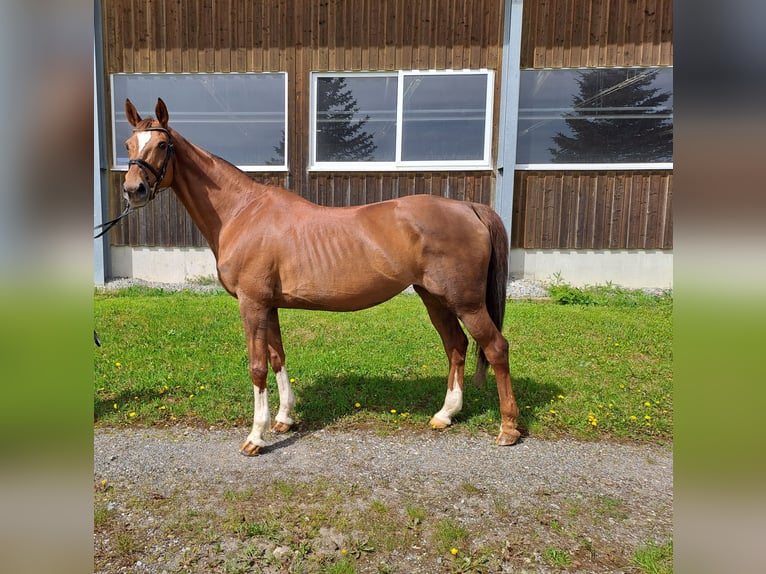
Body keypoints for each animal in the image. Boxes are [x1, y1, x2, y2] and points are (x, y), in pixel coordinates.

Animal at [123, 100, 520, 460]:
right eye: (128, 144)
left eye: (162, 144)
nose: (133, 189)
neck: (242, 212)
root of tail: (469, 208)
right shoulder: (269, 306)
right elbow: (277, 358)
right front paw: (284, 419)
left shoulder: (252, 304)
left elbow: (257, 367)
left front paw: (255, 437)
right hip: (434, 298)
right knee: (456, 345)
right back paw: (445, 414)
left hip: (466, 302)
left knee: (496, 348)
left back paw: (508, 428)